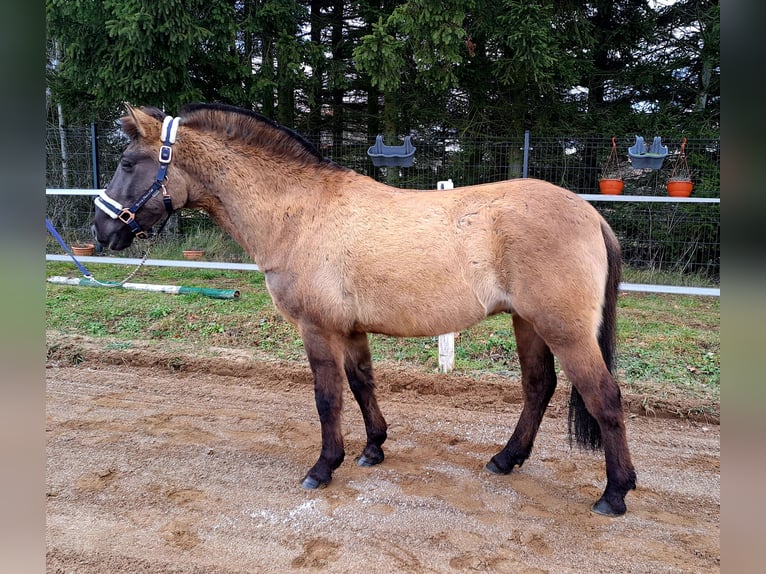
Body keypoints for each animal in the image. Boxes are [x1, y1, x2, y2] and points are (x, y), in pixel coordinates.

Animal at [92, 103, 636, 516]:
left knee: (604, 398)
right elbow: (361, 385)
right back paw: (506, 459)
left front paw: (323, 467)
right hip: (528, 323)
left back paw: (614, 493)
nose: (102, 231)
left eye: (126, 162)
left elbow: (327, 398)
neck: (297, 213)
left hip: (565, 331)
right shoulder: (351, 330)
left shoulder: (316, 329)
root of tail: (591, 214)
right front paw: (373, 448)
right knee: (538, 387)